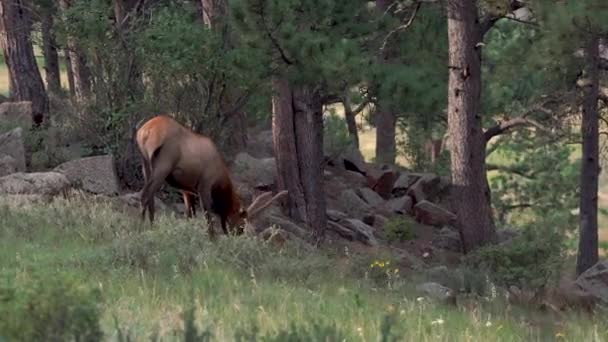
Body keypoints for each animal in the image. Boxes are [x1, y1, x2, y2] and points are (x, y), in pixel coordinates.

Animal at [135, 115, 284, 235]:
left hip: (145, 164)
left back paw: (151, 226)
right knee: (145, 194)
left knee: (150, 198)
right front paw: (212, 239)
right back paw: (140, 227)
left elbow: (190, 214)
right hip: (163, 164)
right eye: (242, 223)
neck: (220, 180)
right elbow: (207, 214)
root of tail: (144, 133)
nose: (238, 234)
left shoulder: (186, 189)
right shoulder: (204, 185)